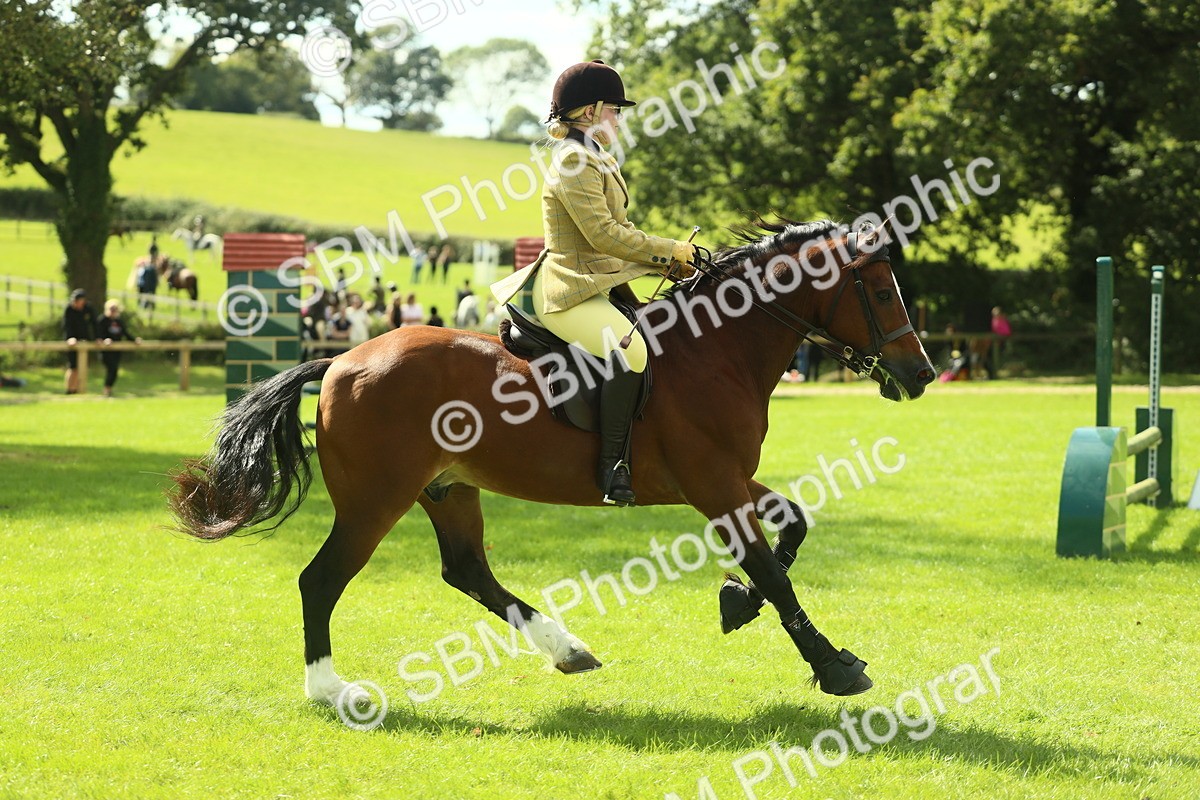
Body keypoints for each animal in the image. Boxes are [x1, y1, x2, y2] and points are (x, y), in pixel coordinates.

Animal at [168, 219, 936, 710]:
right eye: (882, 292)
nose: (922, 374)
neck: (716, 350)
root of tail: (338, 363)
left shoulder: (730, 479)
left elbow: (793, 527)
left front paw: (736, 601)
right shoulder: (713, 485)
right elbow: (774, 570)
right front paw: (834, 665)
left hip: (448, 489)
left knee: (467, 571)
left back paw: (567, 650)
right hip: (375, 501)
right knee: (321, 580)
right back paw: (330, 690)